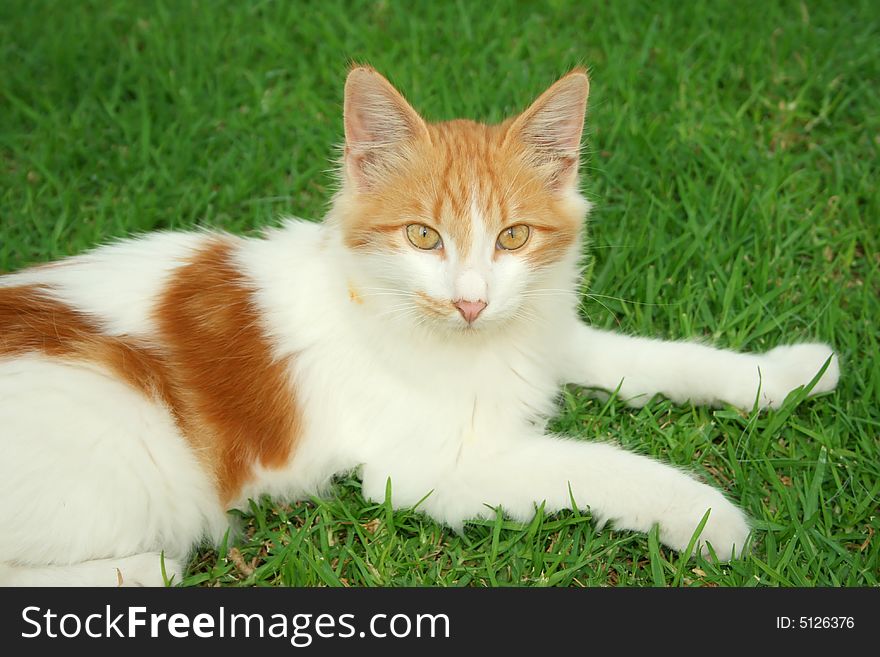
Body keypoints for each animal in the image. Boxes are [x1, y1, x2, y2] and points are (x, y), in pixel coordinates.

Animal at [0, 66, 840, 588]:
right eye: (422, 237)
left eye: (513, 237)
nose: (469, 301)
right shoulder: (428, 468)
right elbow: (600, 462)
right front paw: (708, 516)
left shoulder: (541, 334)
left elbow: (661, 357)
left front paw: (783, 374)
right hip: (141, 464)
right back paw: (147, 569)